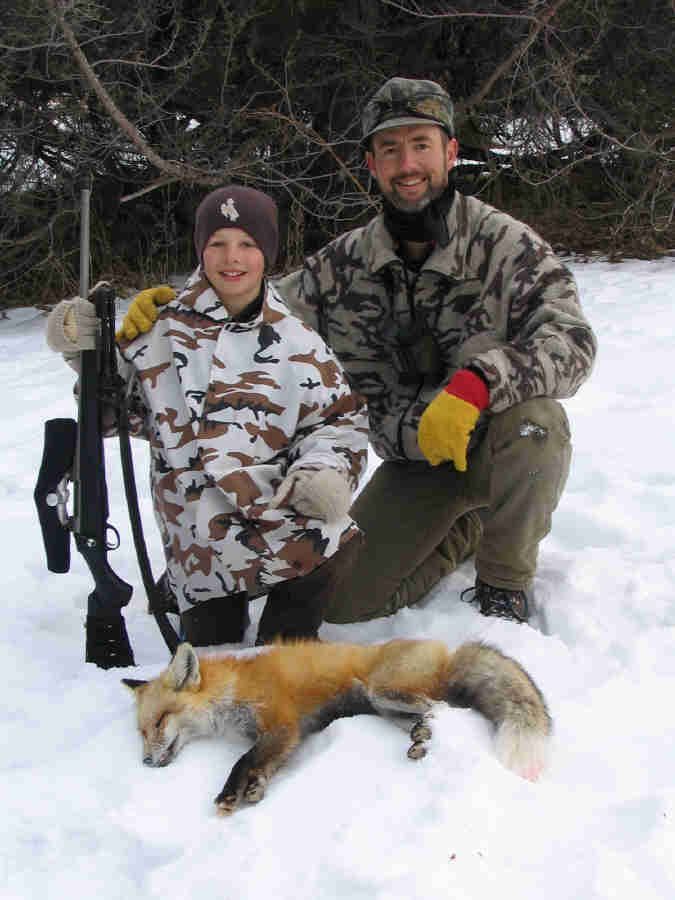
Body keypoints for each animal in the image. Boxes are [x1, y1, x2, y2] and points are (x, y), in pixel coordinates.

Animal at [123, 638, 551, 815]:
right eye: (143, 732)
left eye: (160, 721)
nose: (145, 763)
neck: (233, 689)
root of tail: (447, 652)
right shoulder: (278, 737)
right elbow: (262, 765)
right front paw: (255, 789)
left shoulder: (282, 723)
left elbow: (243, 760)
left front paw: (230, 794)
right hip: (385, 707)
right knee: (428, 716)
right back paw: (420, 739)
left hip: (383, 690)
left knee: (442, 706)